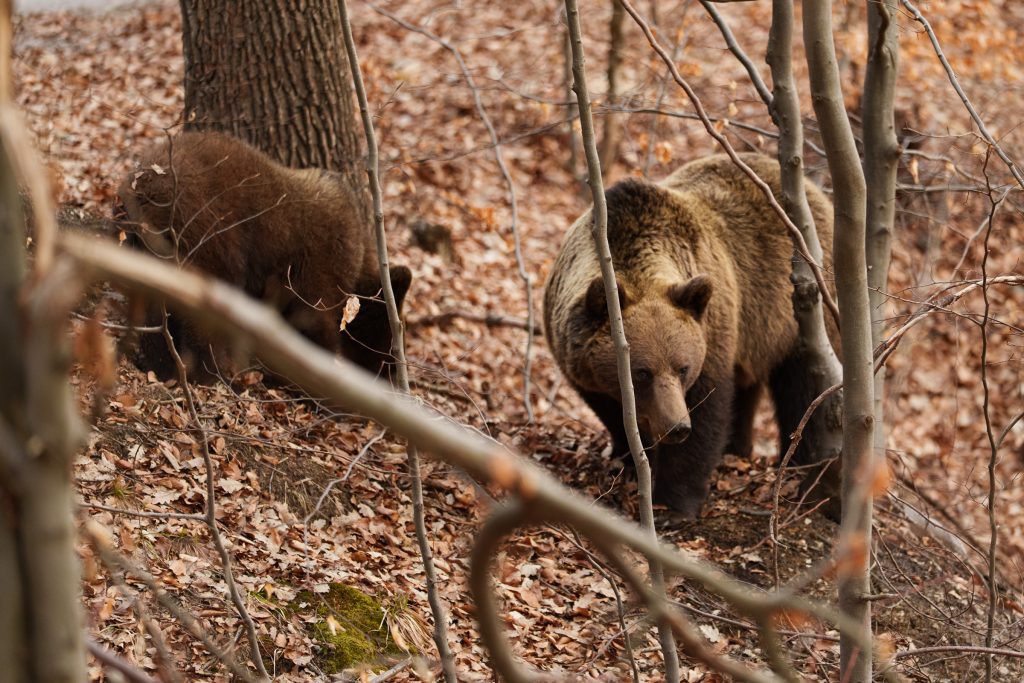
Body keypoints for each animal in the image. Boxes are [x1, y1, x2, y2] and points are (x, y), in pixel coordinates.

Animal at [117, 131, 409, 382]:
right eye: (389, 344)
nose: (391, 374)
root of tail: (142, 191)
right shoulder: (320, 263)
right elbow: (315, 323)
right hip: (206, 232)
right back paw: (213, 372)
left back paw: (164, 365)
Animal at [544, 153, 831, 518]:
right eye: (642, 372)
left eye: (682, 368)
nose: (677, 426)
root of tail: (811, 188)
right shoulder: (577, 359)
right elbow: (614, 413)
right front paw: (633, 461)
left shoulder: (712, 334)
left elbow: (707, 414)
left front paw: (672, 503)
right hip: (756, 332)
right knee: (749, 386)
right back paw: (737, 449)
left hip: (796, 313)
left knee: (803, 385)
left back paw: (800, 464)